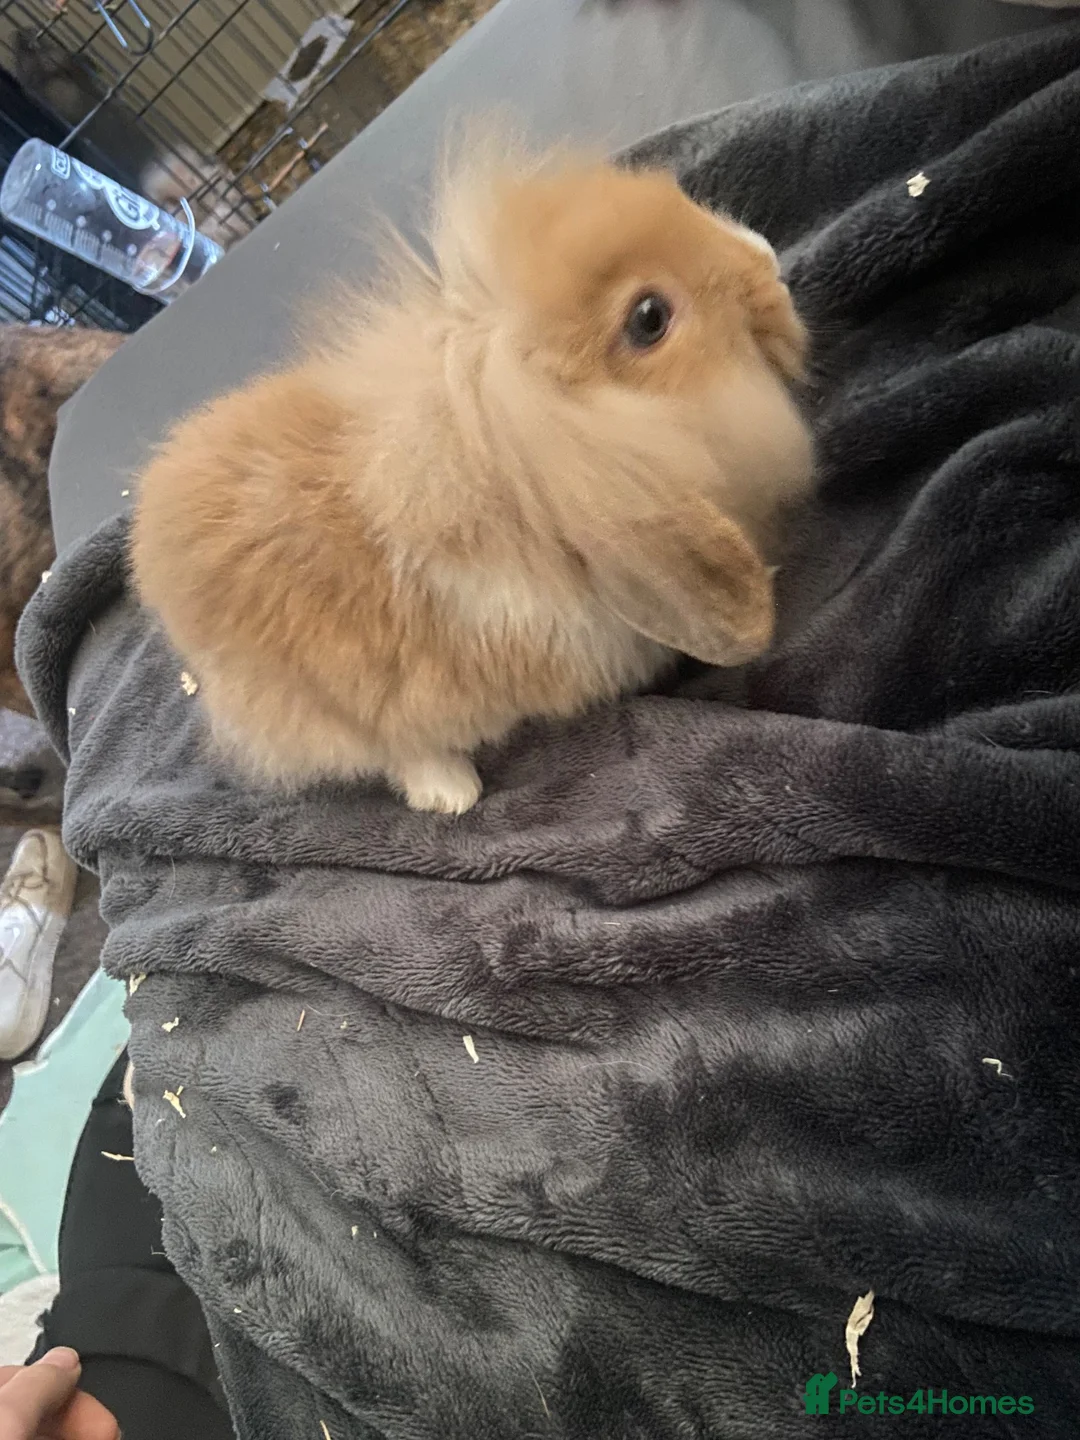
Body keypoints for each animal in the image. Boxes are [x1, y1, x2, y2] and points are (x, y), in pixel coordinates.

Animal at [131, 150, 814, 814]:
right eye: (650, 318)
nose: (765, 256)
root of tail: (151, 550)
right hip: (330, 708)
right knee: (394, 747)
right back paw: (454, 792)